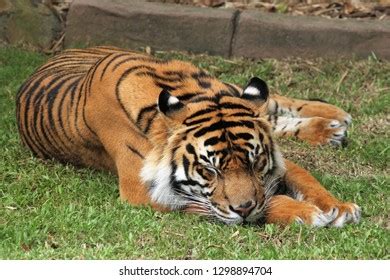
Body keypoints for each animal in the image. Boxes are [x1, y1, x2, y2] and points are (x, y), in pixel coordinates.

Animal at [17, 45, 360, 225]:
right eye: (209, 171)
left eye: (255, 162)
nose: (243, 209)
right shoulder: (143, 190)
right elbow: (262, 202)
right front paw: (307, 213)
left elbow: (305, 180)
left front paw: (339, 207)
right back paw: (332, 128)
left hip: (238, 89)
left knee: (274, 101)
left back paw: (334, 118)